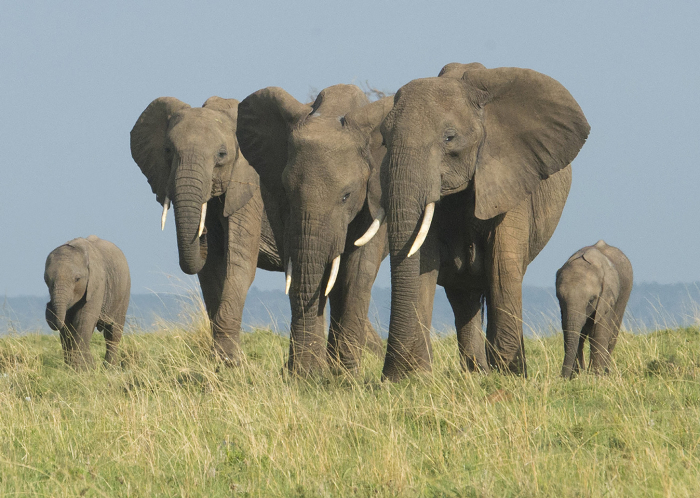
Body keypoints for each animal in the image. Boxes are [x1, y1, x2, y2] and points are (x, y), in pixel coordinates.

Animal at [44, 234, 131, 370]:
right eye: (46, 279)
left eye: (77, 279)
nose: (48, 306)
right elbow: (67, 328)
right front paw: (74, 368)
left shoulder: (97, 285)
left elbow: (84, 321)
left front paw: (84, 368)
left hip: (124, 292)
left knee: (112, 333)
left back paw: (110, 368)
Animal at [130, 96, 284, 366]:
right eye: (167, 151)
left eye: (222, 155)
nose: (200, 238)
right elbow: (212, 268)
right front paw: (223, 359)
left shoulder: (250, 189)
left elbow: (239, 264)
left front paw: (229, 363)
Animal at [238, 85, 392, 374]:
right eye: (287, 191)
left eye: (346, 196)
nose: (298, 372)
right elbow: (299, 266)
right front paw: (304, 375)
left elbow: (358, 270)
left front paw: (345, 376)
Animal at [374, 63, 588, 382]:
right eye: (384, 140)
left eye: (449, 138)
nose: (388, 375)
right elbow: (422, 260)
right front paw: (414, 378)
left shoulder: (510, 177)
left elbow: (501, 264)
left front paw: (510, 374)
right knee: (464, 296)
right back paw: (475, 373)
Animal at [556, 240, 636, 378]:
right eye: (560, 299)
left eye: (591, 300)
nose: (563, 378)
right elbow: (570, 332)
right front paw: (577, 377)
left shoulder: (606, 298)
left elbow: (599, 333)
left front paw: (596, 377)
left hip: (623, 298)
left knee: (612, 336)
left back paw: (605, 373)